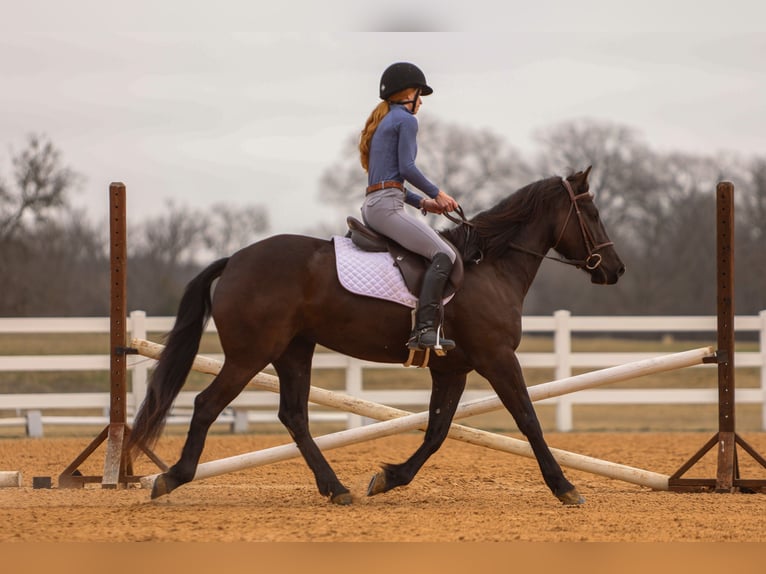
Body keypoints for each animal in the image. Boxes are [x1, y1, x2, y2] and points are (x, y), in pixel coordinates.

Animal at [130, 168, 624, 508]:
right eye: (593, 213)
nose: (616, 269)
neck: (491, 267)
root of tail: (234, 259)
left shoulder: (452, 369)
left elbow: (438, 430)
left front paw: (390, 478)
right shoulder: (497, 357)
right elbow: (527, 419)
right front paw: (565, 487)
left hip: (294, 351)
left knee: (294, 415)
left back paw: (335, 488)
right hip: (251, 354)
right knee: (206, 405)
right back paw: (172, 477)